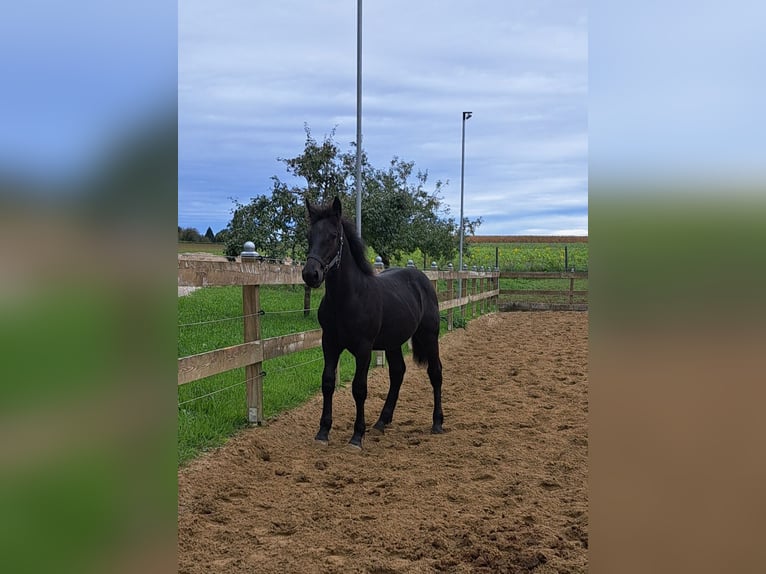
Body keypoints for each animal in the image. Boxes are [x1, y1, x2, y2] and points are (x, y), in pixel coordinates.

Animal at [300, 198, 444, 450]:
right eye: (310, 235)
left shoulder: (363, 349)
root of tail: (423, 279)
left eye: (333, 235)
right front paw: (323, 432)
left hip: (430, 335)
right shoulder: (329, 344)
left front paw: (357, 436)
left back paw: (437, 423)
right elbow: (327, 382)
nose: (311, 274)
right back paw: (381, 421)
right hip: (393, 342)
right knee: (398, 373)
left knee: (435, 372)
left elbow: (359, 388)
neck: (347, 299)